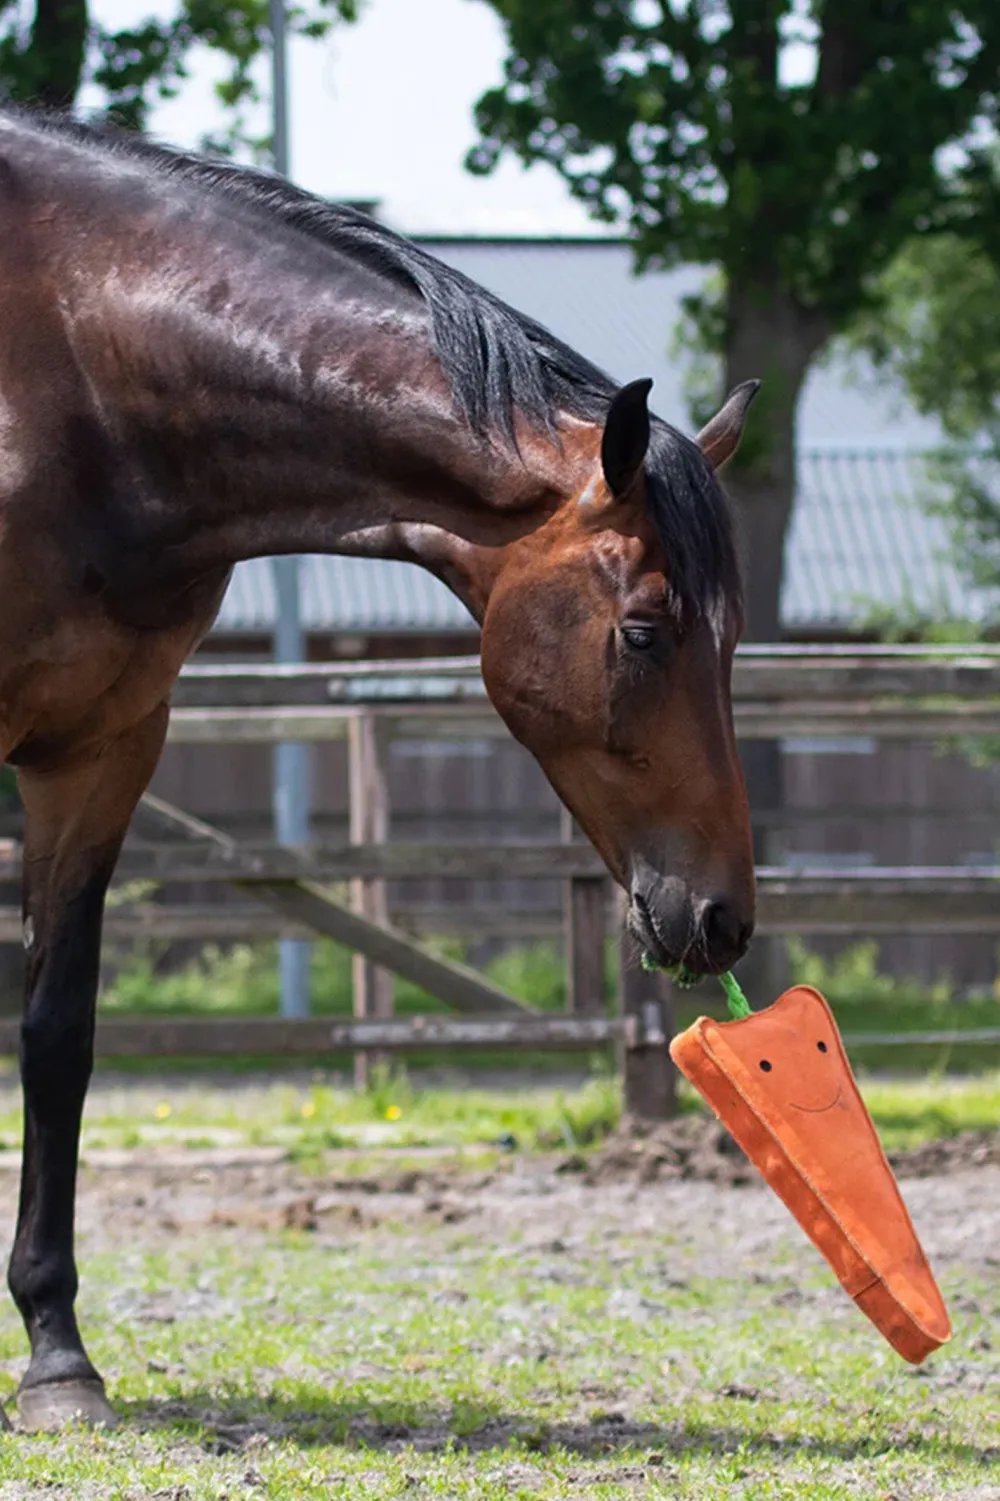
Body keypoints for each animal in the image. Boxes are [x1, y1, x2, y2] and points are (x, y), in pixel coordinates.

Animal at [0, 105, 758, 1431]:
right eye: (644, 632)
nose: (720, 916)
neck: (77, 367)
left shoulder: (98, 745)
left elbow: (57, 1035)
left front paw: (57, 1354)